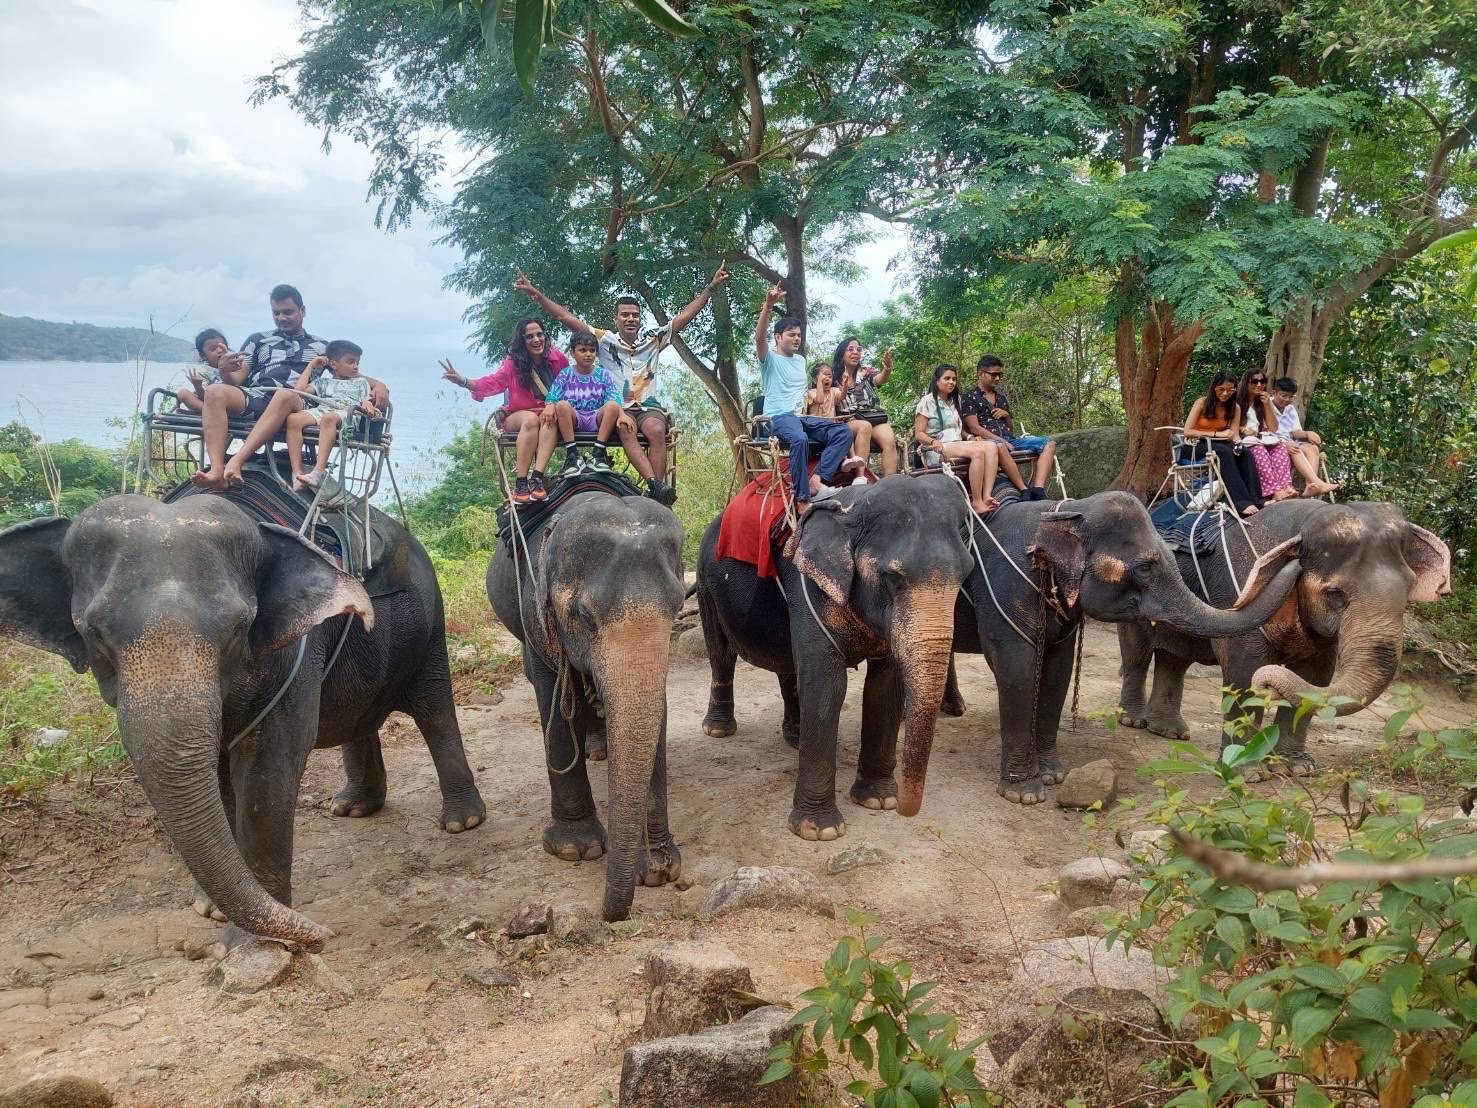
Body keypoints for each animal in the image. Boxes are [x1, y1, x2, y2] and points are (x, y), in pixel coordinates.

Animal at [0, 494, 486, 949]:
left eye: (239, 628)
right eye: (94, 633)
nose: (324, 935)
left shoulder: (295, 654)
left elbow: (270, 763)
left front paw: (249, 944)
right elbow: (215, 774)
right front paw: (210, 910)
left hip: (427, 623)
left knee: (434, 708)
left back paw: (461, 823)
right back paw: (352, 808)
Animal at [487, 491, 685, 923]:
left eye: (679, 606)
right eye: (582, 616)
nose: (608, 913)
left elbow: (655, 712)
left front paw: (659, 869)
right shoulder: (536, 617)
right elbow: (556, 703)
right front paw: (577, 849)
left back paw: (599, 748)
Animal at [697, 474, 976, 838]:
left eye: (965, 576)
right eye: (891, 577)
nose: (906, 809)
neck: (854, 506)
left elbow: (884, 688)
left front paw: (879, 801)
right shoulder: (806, 585)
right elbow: (826, 685)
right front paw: (819, 830)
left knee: (787, 664)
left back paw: (795, 736)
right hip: (705, 585)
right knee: (721, 654)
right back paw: (718, 730)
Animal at [946, 491, 1306, 803]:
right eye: (1145, 567)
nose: (1296, 558)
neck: (1067, 511)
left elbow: (1057, 669)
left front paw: (1053, 775)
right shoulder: (1006, 586)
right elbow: (1016, 668)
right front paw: (1025, 795)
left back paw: (953, 710)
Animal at [1116, 499, 1451, 773]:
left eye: (1409, 588)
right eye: (1335, 594)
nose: (1271, 684)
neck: (1302, 524)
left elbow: (1316, 679)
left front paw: (1297, 769)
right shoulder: (1238, 595)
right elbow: (1244, 672)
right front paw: (1246, 772)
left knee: (1174, 659)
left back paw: (1169, 731)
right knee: (1137, 656)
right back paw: (1133, 721)